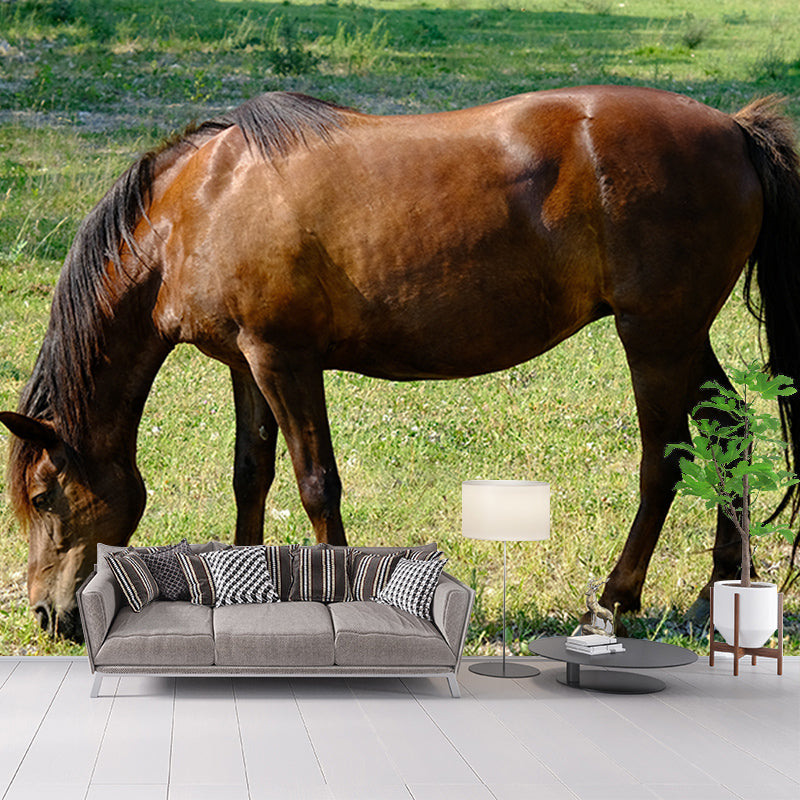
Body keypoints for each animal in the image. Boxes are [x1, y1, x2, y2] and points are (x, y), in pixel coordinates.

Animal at [2, 86, 800, 641]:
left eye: (42, 497)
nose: (43, 614)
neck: (198, 204)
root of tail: (735, 129)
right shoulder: (245, 361)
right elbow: (250, 474)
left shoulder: (283, 359)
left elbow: (317, 485)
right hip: (681, 335)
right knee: (731, 430)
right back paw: (717, 589)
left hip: (654, 336)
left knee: (663, 460)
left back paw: (614, 599)